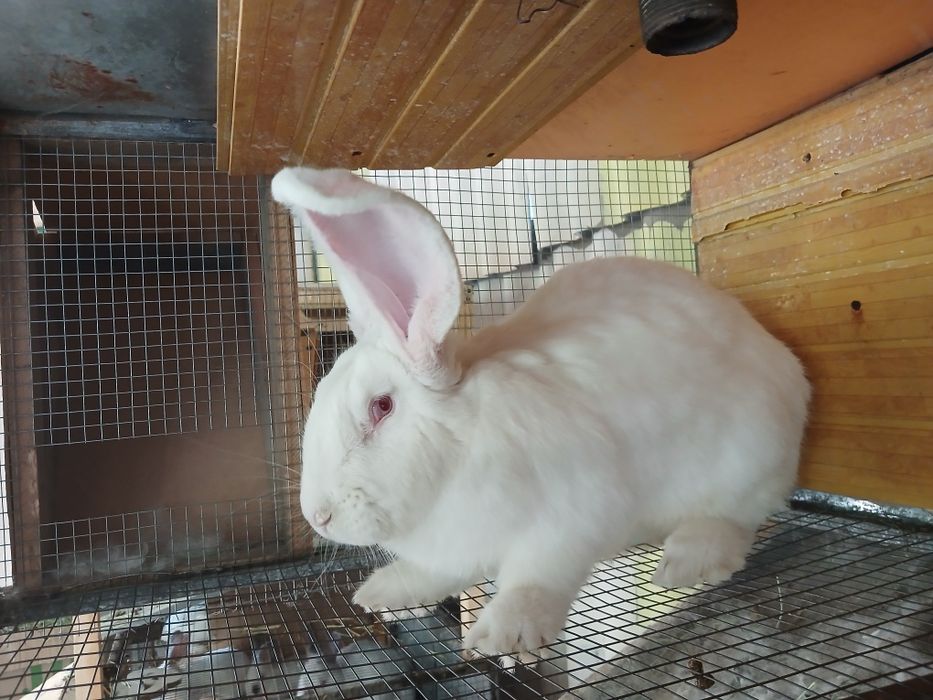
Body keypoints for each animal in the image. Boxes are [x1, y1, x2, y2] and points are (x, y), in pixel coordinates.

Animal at [271, 167, 811, 659]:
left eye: (381, 407)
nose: (319, 517)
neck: (459, 450)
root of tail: (786, 368)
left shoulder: (570, 519)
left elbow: (535, 581)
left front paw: (503, 634)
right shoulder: (454, 553)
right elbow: (436, 574)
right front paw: (385, 593)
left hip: (747, 453)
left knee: (740, 516)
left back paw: (688, 561)